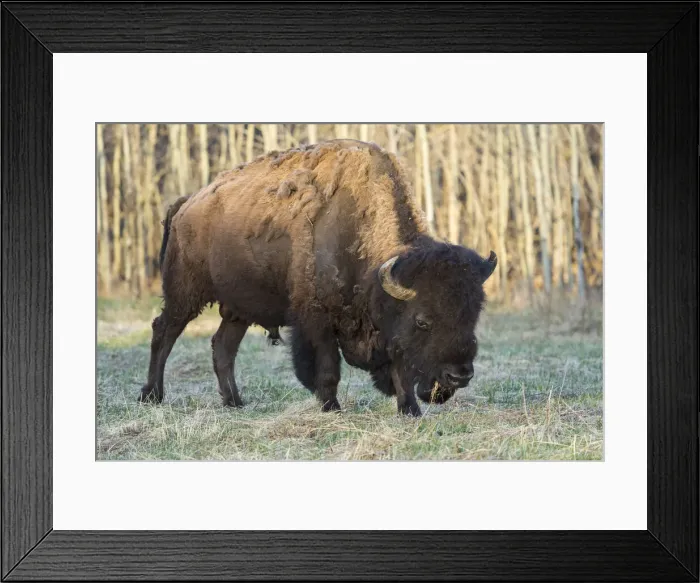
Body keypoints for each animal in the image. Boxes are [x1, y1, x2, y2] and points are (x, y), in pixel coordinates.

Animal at [139, 139, 496, 416]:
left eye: (472, 316)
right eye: (423, 321)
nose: (459, 376)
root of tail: (187, 203)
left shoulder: (386, 332)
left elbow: (400, 371)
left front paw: (410, 411)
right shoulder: (317, 321)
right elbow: (328, 370)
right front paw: (331, 408)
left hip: (238, 308)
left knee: (222, 347)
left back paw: (234, 402)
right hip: (184, 293)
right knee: (164, 332)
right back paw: (152, 395)